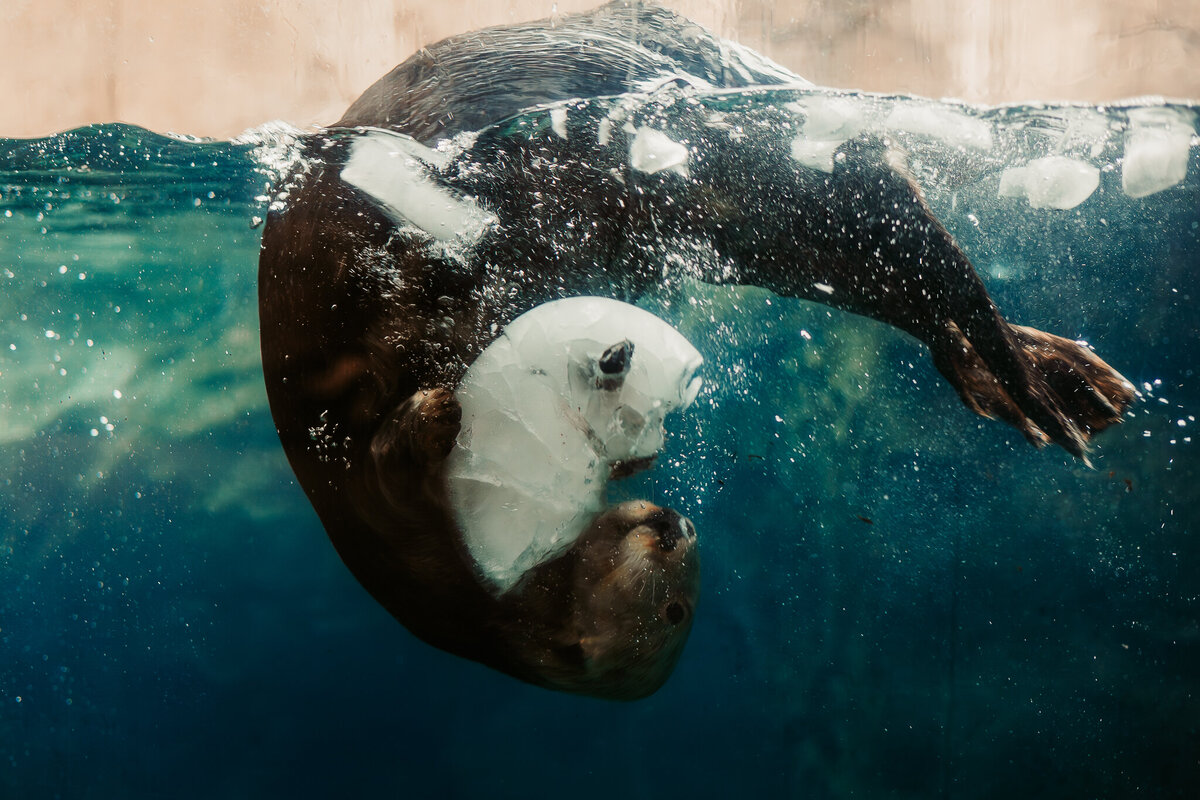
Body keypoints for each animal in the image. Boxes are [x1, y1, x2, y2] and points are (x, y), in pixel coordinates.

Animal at [258, 1, 1134, 698]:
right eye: (673, 601)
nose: (671, 526)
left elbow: (394, 450)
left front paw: (438, 415)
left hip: (784, 176)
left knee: (932, 257)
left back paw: (1046, 389)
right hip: (787, 230)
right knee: (919, 291)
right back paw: (1056, 383)